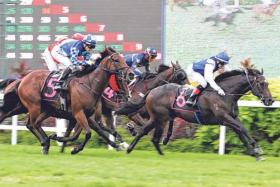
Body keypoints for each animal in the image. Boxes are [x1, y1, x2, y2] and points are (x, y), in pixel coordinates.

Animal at [126, 60, 274, 161]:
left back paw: (150, 151)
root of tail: (152, 91)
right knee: (146, 133)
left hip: (160, 118)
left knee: (148, 134)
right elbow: (243, 129)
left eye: (267, 83)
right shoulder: (224, 117)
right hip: (160, 117)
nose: (270, 100)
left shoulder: (230, 119)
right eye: (262, 84)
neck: (226, 94)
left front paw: (255, 154)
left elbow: (241, 133)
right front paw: (257, 148)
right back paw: (130, 149)